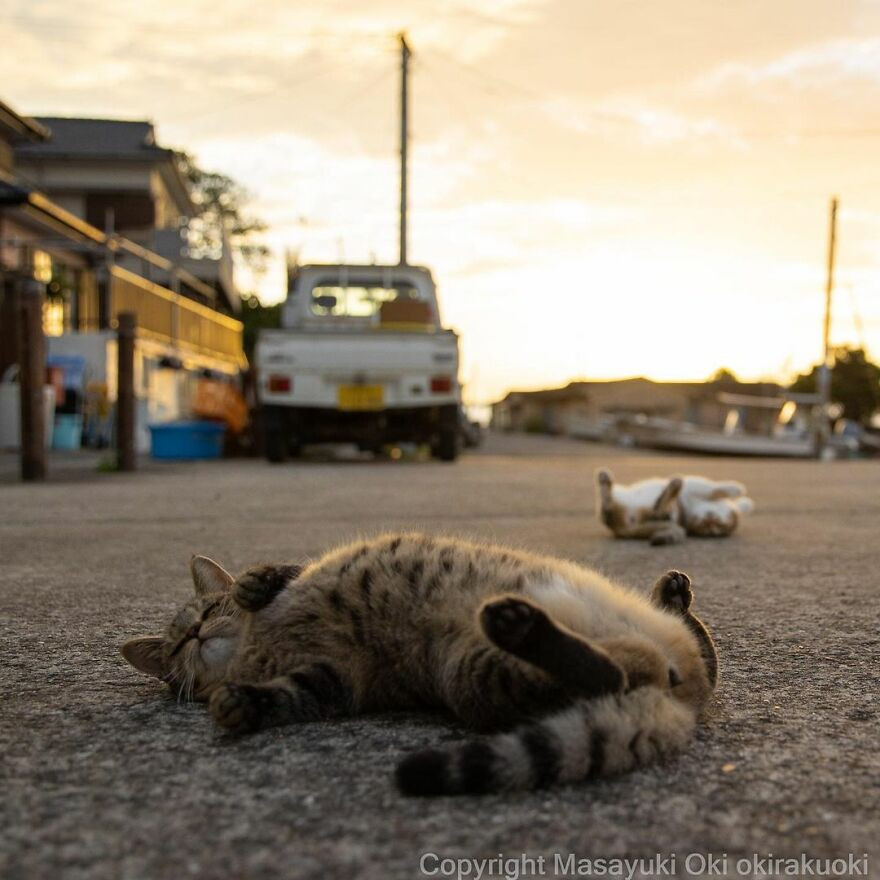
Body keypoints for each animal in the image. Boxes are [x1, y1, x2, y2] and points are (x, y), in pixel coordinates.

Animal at [122, 536, 716, 796]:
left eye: (206, 611)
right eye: (174, 651)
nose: (194, 634)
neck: (253, 647)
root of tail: (681, 703)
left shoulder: (304, 579)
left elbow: (280, 570)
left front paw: (251, 584)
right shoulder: (333, 678)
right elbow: (283, 696)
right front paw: (238, 704)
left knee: (693, 654)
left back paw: (672, 595)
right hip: (476, 673)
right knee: (625, 669)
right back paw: (521, 625)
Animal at [596, 468, 752, 544]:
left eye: (711, 530)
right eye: (711, 518)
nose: (708, 521)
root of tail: (626, 531)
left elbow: (712, 488)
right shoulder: (695, 485)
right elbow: (713, 488)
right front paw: (737, 489)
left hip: (660, 513)